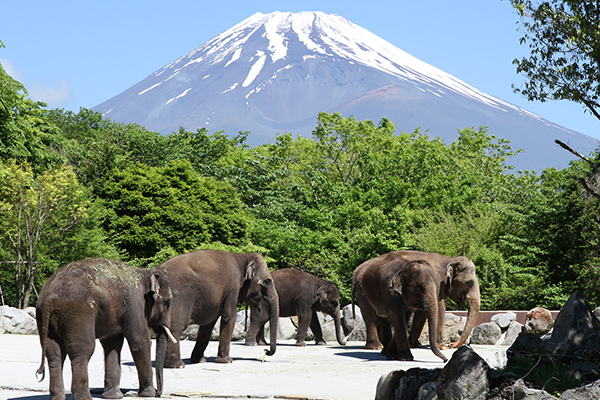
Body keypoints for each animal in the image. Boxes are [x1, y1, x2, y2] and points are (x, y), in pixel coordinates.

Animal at [35, 258, 176, 400]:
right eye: (168, 303)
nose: (159, 393)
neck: (143, 273)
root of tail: (49, 298)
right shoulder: (134, 304)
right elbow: (140, 342)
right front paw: (148, 394)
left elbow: (112, 344)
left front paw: (113, 396)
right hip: (77, 315)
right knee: (82, 351)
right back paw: (85, 397)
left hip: (44, 318)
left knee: (54, 353)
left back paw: (58, 397)